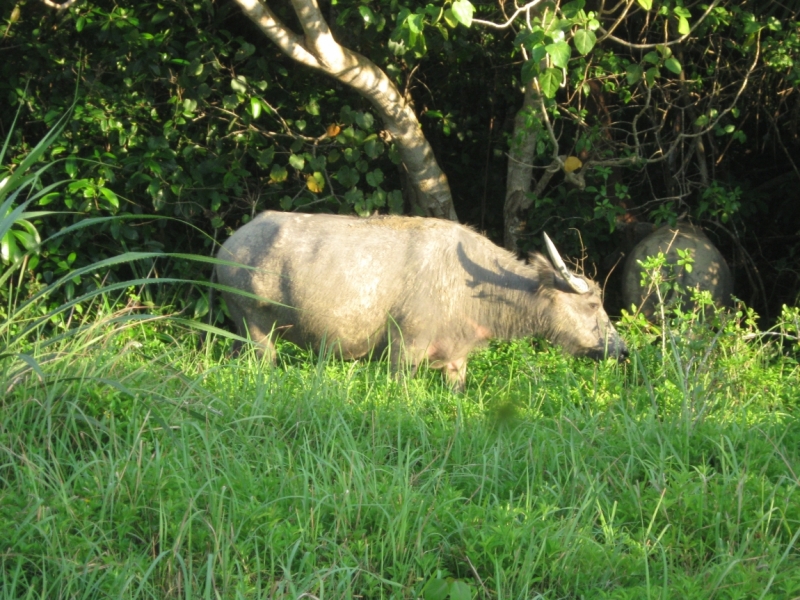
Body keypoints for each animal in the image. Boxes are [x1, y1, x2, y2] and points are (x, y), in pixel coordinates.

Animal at [216, 211, 628, 390]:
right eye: (593, 305)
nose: (621, 350)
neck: (466, 289)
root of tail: (227, 247)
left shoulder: (456, 361)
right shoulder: (404, 348)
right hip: (257, 332)